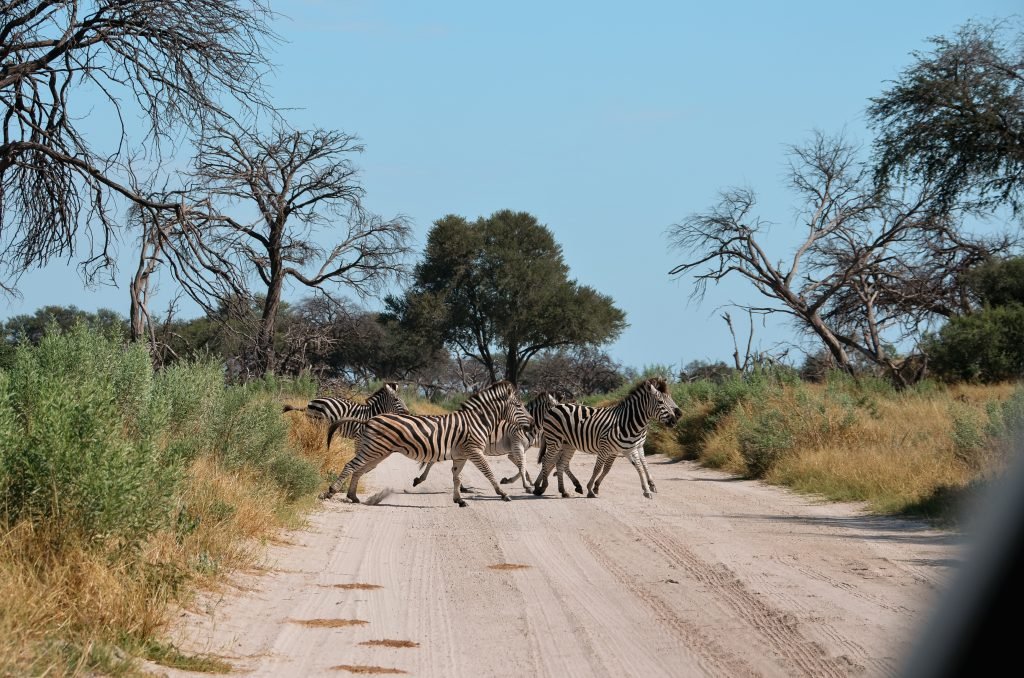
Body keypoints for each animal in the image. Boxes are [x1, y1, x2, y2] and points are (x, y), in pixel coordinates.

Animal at [321, 381, 535, 507]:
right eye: (518, 406)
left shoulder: (461, 455)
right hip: (373, 449)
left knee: (358, 469)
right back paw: (330, 492)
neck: (477, 421)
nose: (533, 423)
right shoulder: (474, 450)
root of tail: (370, 419)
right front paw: (503, 494)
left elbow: (457, 477)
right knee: (351, 465)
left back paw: (353, 496)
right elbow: (489, 473)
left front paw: (459, 500)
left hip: (377, 452)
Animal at [532, 377, 681, 499]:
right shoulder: (606, 448)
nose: (675, 419)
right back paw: (541, 487)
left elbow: (639, 466)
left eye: (670, 398)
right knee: (547, 460)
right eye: (661, 401)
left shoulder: (631, 448)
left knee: (560, 464)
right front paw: (591, 489)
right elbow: (598, 469)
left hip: (567, 444)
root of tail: (555, 406)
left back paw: (563, 491)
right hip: (554, 441)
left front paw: (647, 489)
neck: (627, 422)